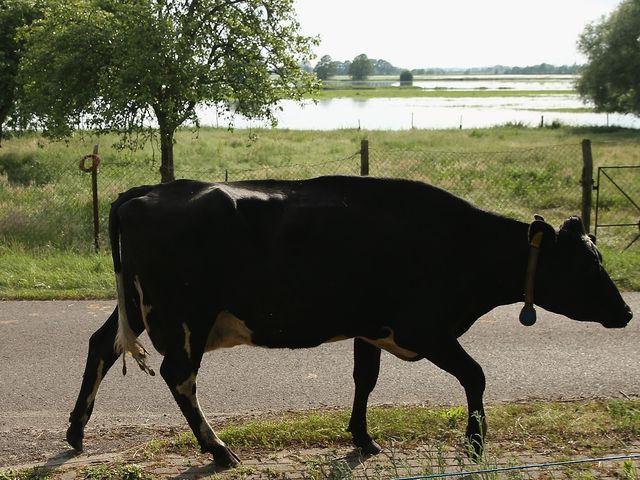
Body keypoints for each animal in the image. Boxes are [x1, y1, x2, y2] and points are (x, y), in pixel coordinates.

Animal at [66, 174, 632, 466]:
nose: (626, 311)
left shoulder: (371, 326)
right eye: (587, 265)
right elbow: (476, 375)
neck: (461, 245)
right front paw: (475, 443)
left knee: (100, 344)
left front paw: (362, 436)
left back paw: (76, 431)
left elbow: (366, 379)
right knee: (178, 375)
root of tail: (144, 191)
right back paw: (219, 449)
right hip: (183, 314)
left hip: (137, 305)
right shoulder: (424, 328)